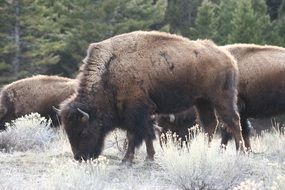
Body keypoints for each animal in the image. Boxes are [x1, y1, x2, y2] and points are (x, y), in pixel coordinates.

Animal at [58, 30, 243, 163]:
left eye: (83, 131)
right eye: (68, 131)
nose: (80, 157)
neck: (110, 71)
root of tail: (228, 58)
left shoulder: (136, 111)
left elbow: (135, 135)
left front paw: (127, 160)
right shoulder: (145, 113)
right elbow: (147, 134)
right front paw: (149, 157)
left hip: (221, 99)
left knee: (233, 121)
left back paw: (241, 151)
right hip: (202, 101)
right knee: (210, 124)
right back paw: (206, 151)